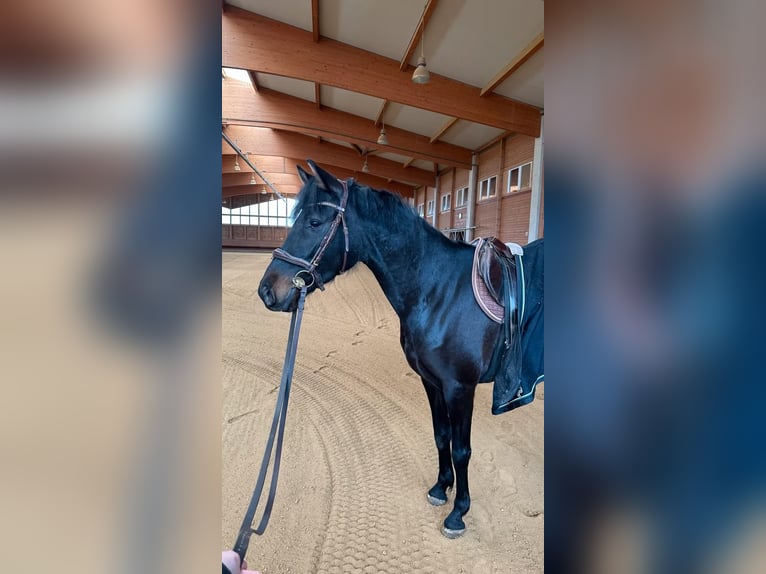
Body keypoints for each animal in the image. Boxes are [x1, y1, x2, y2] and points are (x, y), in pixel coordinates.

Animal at [258, 160, 543, 538]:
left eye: (315, 222)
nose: (267, 291)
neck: (438, 290)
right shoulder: (432, 382)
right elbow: (441, 436)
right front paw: (440, 488)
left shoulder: (460, 388)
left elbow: (462, 449)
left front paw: (458, 512)